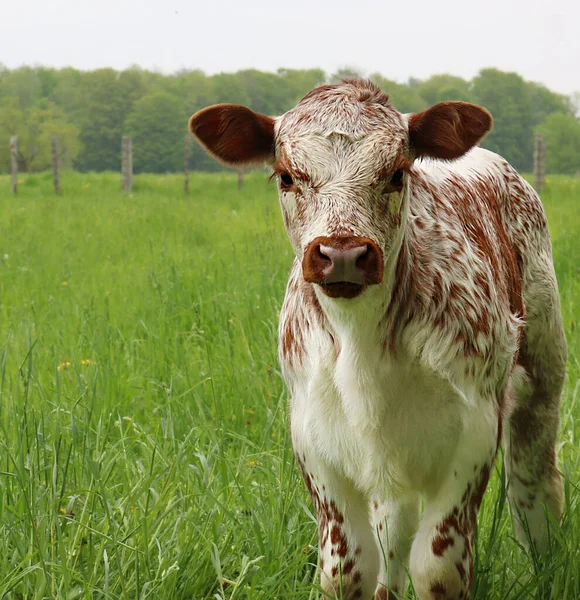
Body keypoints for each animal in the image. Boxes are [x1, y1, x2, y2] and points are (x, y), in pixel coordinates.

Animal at [190, 79, 568, 600]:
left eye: (396, 174)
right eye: (286, 176)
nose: (343, 254)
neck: (363, 341)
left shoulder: (474, 429)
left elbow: (439, 569)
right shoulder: (313, 434)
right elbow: (346, 569)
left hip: (543, 374)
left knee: (533, 485)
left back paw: (547, 565)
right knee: (393, 529)